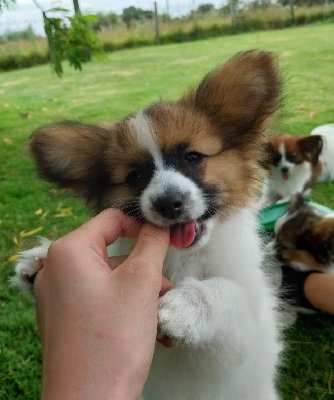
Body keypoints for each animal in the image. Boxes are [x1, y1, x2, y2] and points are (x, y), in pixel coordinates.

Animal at [15, 50, 282, 400]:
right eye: (135, 176)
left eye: (193, 157)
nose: (168, 203)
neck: (183, 257)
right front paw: (42, 258)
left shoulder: (244, 340)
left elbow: (227, 292)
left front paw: (188, 305)